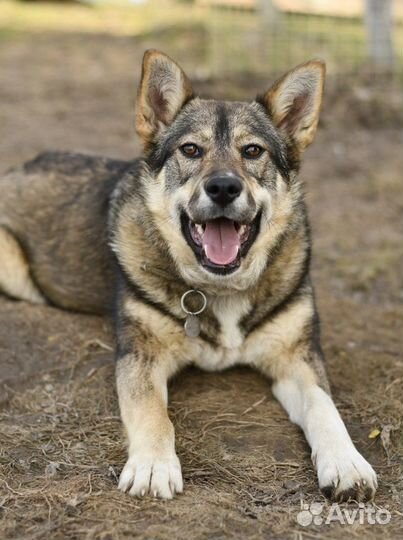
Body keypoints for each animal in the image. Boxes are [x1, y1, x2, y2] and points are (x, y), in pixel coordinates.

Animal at [0, 50, 378, 502]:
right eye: (191, 149)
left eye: (253, 151)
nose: (223, 188)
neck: (220, 288)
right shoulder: (141, 358)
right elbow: (153, 413)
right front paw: (152, 467)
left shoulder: (297, 359)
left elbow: (325, 408)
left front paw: (346, 461)